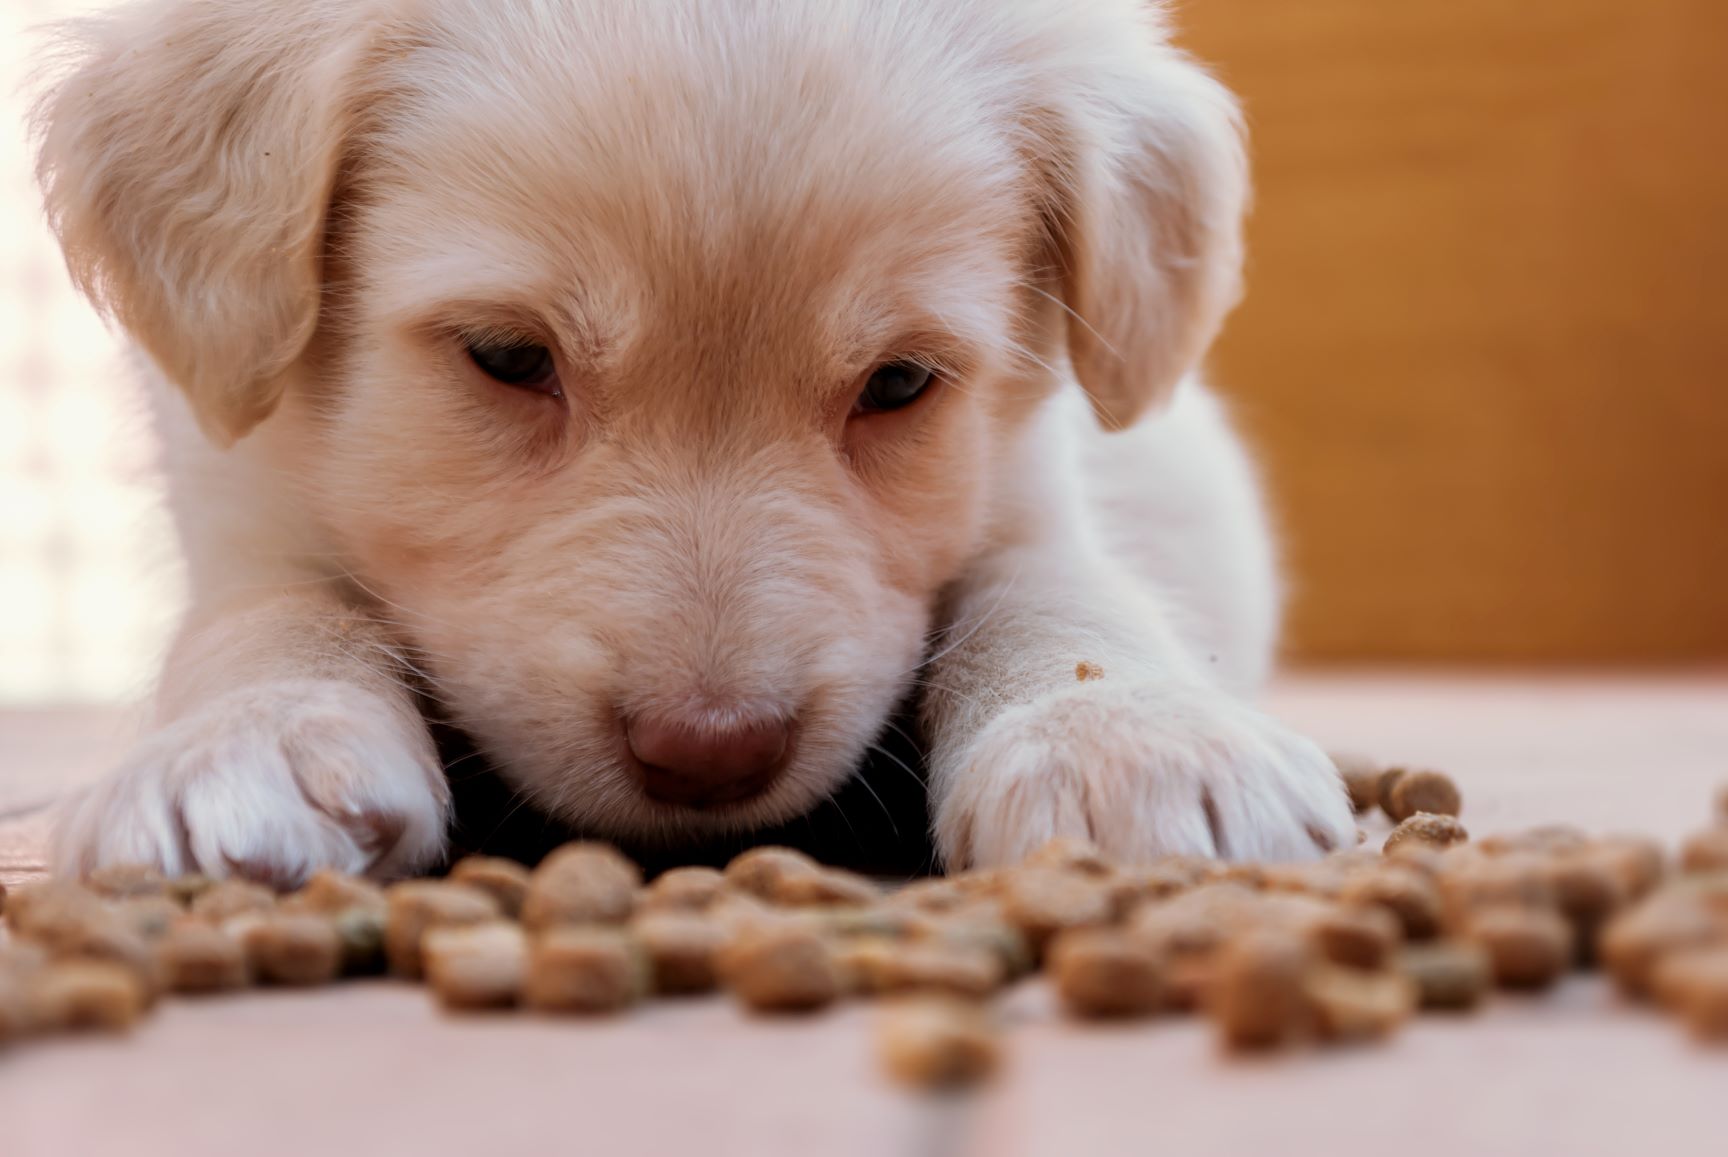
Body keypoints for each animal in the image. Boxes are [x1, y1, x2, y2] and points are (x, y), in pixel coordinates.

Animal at [30, 0, 1347, 891]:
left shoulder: (1028, 487)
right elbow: (271, 610)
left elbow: (1059, 591)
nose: (713, 757)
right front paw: (249, 741)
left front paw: (1132, 739)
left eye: (900, 383)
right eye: (508, 356)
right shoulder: (241, 492)